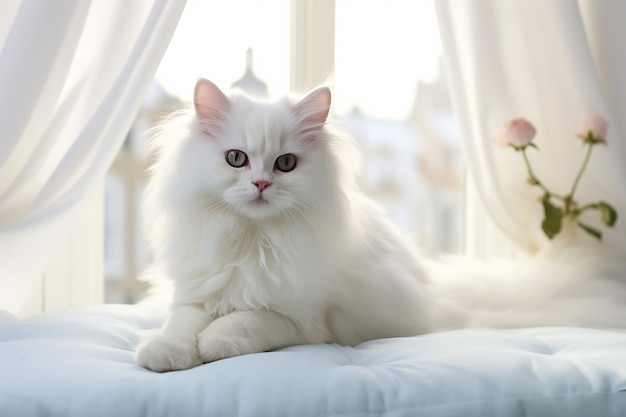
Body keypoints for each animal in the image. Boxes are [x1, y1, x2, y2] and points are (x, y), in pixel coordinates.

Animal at [136, 79, 428, 370]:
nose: (261, 183)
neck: (251, 240)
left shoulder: (301, 321)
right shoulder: (192, 299)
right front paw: (164, 352)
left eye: (286, 163)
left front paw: (214, 343)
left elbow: (244, 320)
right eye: (235, 158)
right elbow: (179, 326)